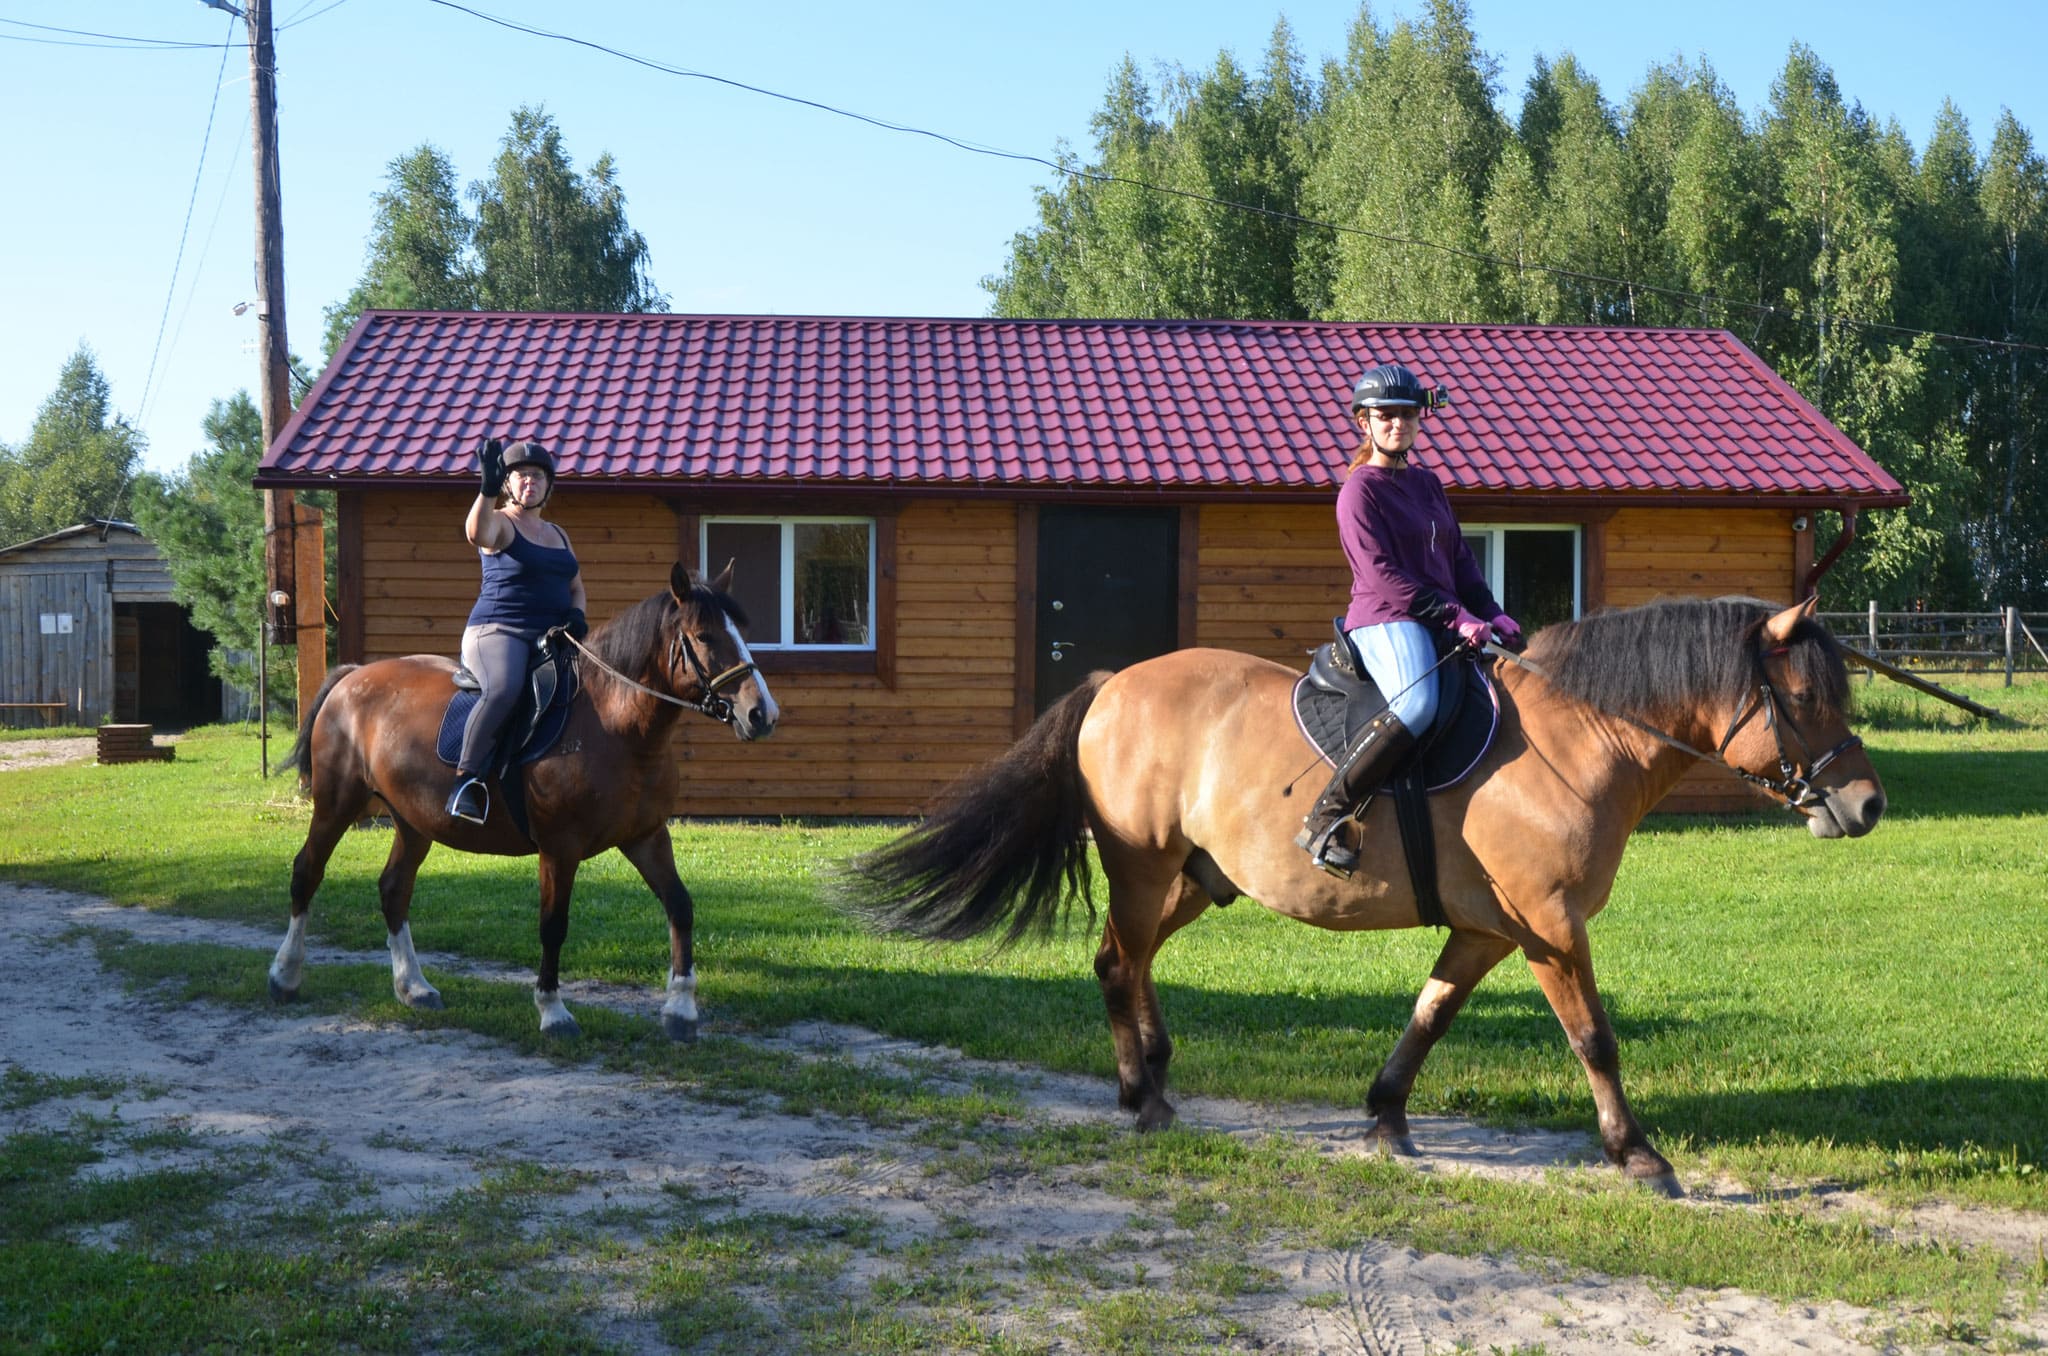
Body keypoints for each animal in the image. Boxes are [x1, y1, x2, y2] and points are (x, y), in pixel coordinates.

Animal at [268, 561, 778, 1040]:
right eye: (704, 636)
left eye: (741, 632)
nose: (762, 714)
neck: (617, 726)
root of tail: (353, 676)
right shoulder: (559, 848)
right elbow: (553, 925)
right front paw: (553, 1012)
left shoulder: (646, 837)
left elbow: (680, 906)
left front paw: (681, 1010)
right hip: (337, 804)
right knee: (307, 872)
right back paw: (285, 976)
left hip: (413, 821)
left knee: (394, 889)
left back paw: (414, 987)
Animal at [843, 602, 1884, 1196]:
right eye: (1806, 699)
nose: (1867, 805)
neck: (1578, 737)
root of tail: (1111, 685)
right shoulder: (1550, 926)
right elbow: (1595, 1037)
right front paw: (1638, 1155)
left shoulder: (1489, 929)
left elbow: (1430, 1015)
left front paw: (1386, 1115)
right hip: (1142, 865)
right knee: (1117, 960)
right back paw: (1143, 1097)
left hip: (1198, 877)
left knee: (1127, 960)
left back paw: (1156, 1076)